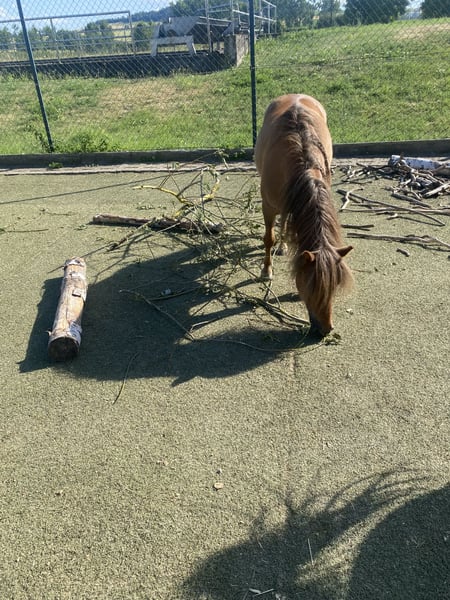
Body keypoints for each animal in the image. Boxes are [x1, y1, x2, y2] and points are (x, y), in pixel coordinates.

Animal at [254, 94, 353, 336]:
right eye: (310, 286)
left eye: (334, 286)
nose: (326, 329)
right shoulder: (268, 206)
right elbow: (268, 238)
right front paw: (266, 270)